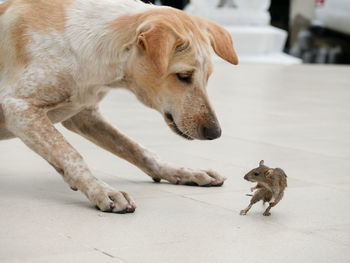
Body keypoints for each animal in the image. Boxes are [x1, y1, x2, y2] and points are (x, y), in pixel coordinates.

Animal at [0, 0, 238, 213]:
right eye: (183, 76)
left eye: (208, 76)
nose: (215, 133)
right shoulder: (19, 108)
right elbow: (70, 153)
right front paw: (102, 191)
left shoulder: (84, 115)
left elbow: (137, 150)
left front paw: (183, 171)